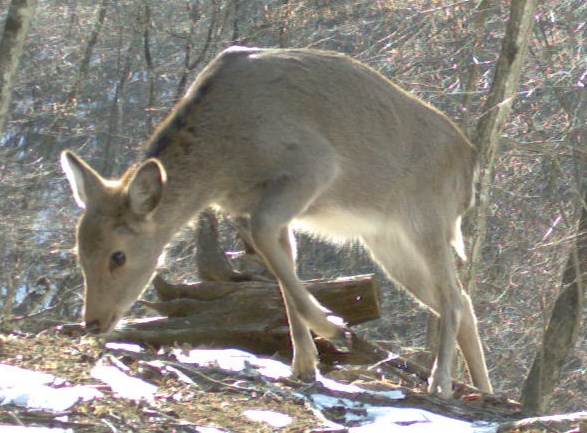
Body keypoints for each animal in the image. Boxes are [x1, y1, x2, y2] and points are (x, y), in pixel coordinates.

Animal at [60, 46, 492, 394]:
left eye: (118, 256)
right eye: (78, 251)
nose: (92, 322)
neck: (224, 163)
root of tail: (470, 167)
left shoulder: (312, 168)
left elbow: (265, 238)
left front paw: (334, 327)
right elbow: (281, 266)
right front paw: (304, 364)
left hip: (428, 218)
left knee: (453, 297)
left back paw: (440, 382)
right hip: (386, 242)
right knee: (461, 299)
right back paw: (482, 389)